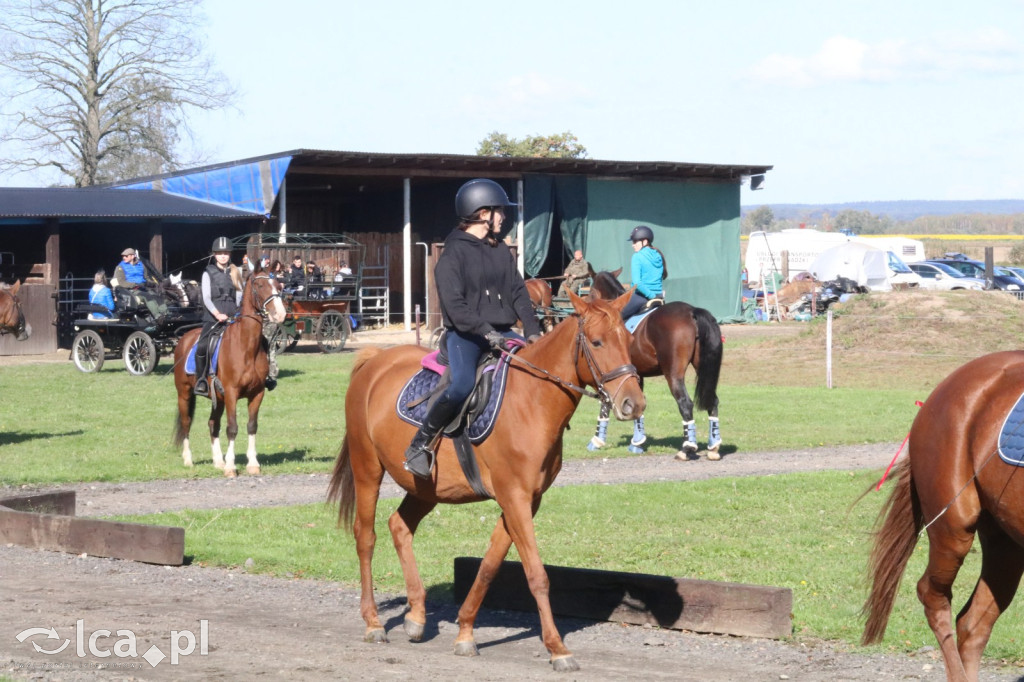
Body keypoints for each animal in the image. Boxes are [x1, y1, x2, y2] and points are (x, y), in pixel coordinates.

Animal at [172, 268, 284, 475]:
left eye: (279, 286)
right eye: (260, 285)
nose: (280, 314)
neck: (246, 346)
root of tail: (184, 338)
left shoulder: (257, 394)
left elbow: (252, 426)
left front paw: (252, 464)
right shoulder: (232, 393)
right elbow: (232, 428)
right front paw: (231, 467)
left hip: (218, 398)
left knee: (212, 423)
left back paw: (218, 461)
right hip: (184, 393)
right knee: (186, 423)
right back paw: (188, 460)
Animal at [327, 288, 643, 667]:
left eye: (628, 340)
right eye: (596, 342)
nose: (634, 404)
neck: (532, 401)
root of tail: (375, 361)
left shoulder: (525, 501)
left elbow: (491, 566)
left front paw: (465, 632)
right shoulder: (515, 498)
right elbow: (536, 574)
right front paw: (557, 647)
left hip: (425, 488)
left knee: (400, 526)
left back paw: (416, 615)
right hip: (367, 469)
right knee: (366, 537)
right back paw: (374, 622)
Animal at [585, 268, 720, 458]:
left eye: (590, 293)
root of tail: (692, 311)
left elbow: (606, 404)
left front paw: (597, 441)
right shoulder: (634, 376)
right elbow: (637, 404)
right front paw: (637, 443)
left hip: (673, 374)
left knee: (685, 403)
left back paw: (687, 448)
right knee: (712, 401)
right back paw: (714, 446)